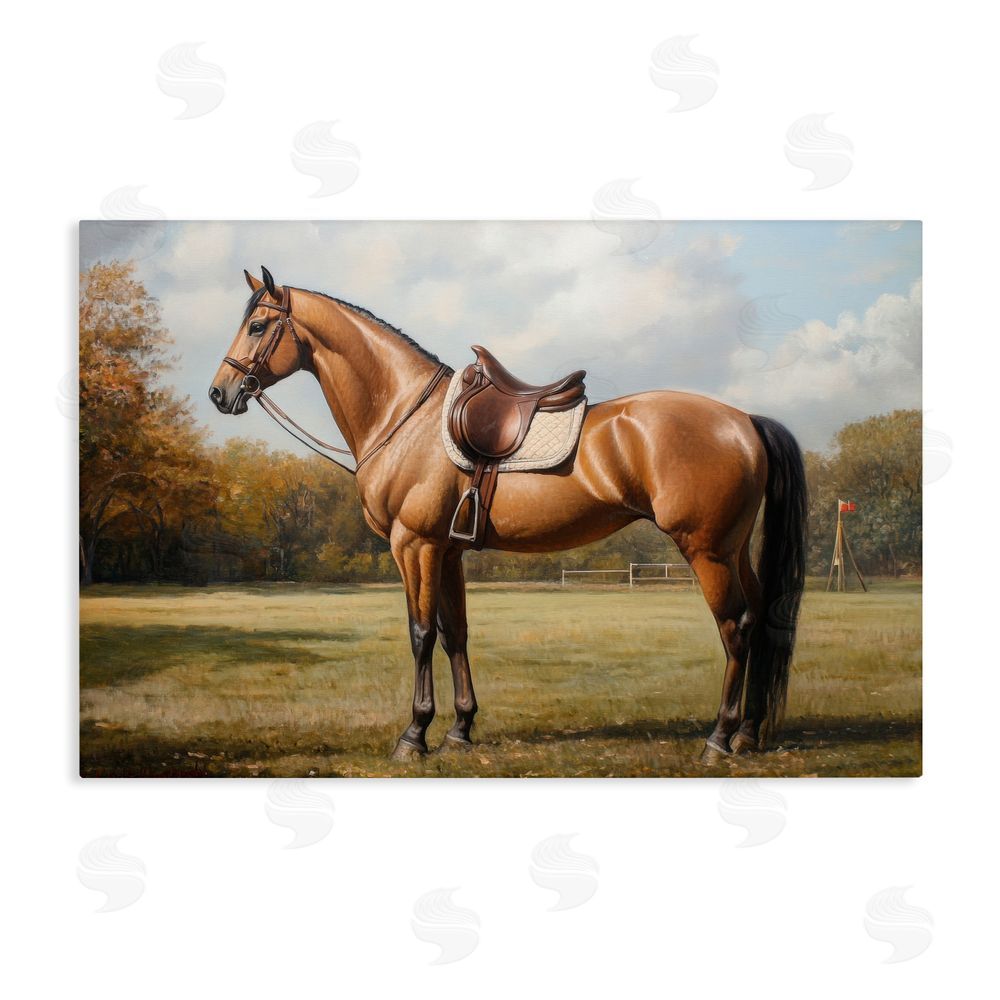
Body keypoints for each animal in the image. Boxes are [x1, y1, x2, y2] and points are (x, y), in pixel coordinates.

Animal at [209, 267, 807, 764]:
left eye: (258, 326)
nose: (220, 392)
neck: (406, 417)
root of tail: (744, 421)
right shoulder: (447, 551)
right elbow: (455, 634)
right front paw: (459, 730)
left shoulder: (414, 545)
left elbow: (420, 633)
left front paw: (414, 736)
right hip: (733, 549)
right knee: (760, 618)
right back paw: (747, 733)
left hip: (706, 550)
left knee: (734, 628)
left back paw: (718, 739)